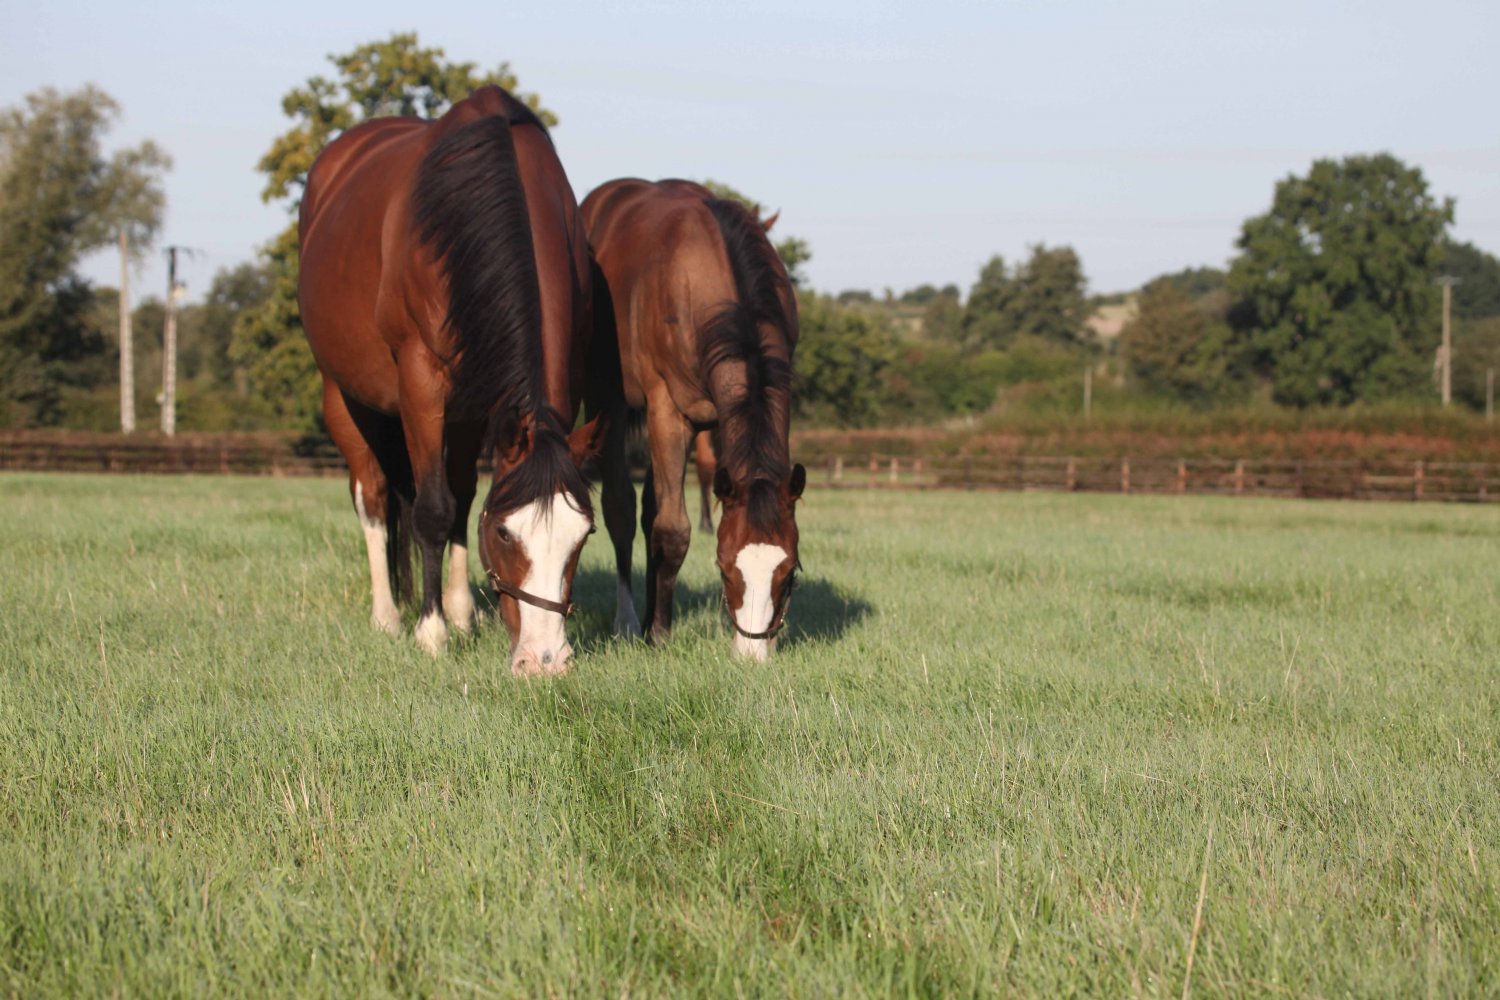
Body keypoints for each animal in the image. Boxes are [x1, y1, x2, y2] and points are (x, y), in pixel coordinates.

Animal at [299, 86, 600, 675]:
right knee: (374, 496)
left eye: (584, 535)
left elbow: (460, 501)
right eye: (505, 532)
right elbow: (433, 510)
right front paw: (431, 633)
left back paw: (458, 611)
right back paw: (390, 616)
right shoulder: (421, 382)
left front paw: (458, 617)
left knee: (451, 492)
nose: (544, 660)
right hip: (345, 395)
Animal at [582, 179, 805, 660]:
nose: (752, 655)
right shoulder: (667, 410)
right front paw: (660, 634)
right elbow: (672, 529)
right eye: (723, 568)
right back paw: (631, 622)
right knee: (621, 507)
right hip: (608, 399)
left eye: (789, 571)